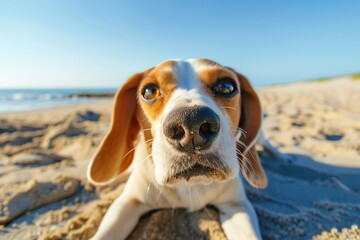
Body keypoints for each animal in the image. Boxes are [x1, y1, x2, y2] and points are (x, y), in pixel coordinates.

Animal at [87, 58, 268, 240]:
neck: (191, 186)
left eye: (226, 86)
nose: (192, 122)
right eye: (149, 91)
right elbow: (105, 233)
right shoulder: (128, 202)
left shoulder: (237, 205)